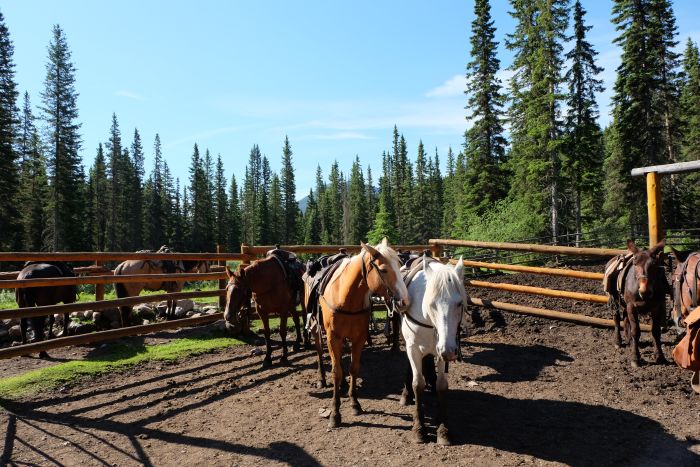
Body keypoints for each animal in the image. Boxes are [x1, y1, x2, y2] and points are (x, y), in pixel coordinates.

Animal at [396, 256, 468, 446]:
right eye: (432, 304)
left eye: (459, 303)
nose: (449, 351)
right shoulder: (414, 348)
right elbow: (417, 384)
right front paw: (419, 429)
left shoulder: (442, 348)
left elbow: (442, 386)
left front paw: (443, 430)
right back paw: (406, 394)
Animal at [604, 241, 668, 370]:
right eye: (635, 263)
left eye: (654, 264)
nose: (645, 291)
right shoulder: (632, 306)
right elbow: (636, 331)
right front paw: (635, 358)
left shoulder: (656, 307)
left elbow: (655, 332)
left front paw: (660, 356)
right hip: (615, 300)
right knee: (617, 319)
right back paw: (618, 341)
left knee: (625, 318)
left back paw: (628, 340)